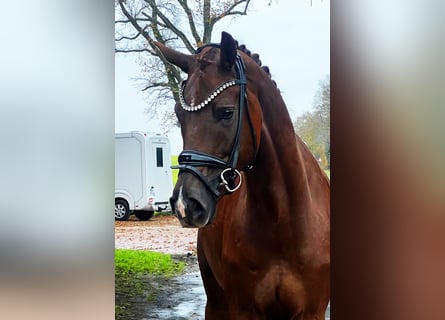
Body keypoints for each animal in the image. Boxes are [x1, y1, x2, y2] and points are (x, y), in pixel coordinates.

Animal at [154, 31, 328, 318]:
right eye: (179, 115)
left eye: (226, 112)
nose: (184, 204)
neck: (283, 220)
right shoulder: (242, 308)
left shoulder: (311, 311)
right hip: (215, 302)